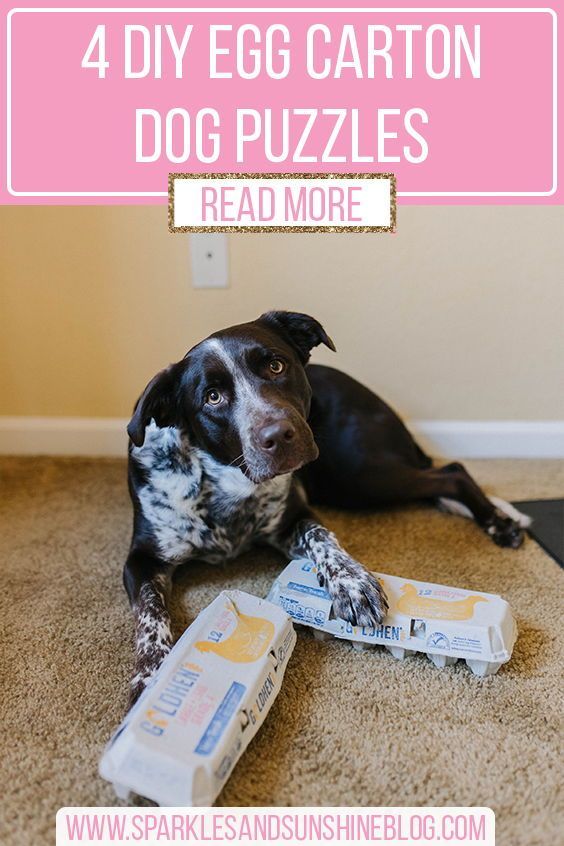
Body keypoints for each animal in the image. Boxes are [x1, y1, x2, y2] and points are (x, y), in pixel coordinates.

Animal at [122, 310, 528, 704]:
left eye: (276, 366)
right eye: (212, 397)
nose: (278, 435)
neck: (226, 484)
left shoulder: (294, 519)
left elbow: (324, 537)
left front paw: (352, 583)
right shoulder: (141, 560)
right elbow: (150, 612)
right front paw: (154, 672)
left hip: (357, 474)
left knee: (452, 473)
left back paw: (498, 522)